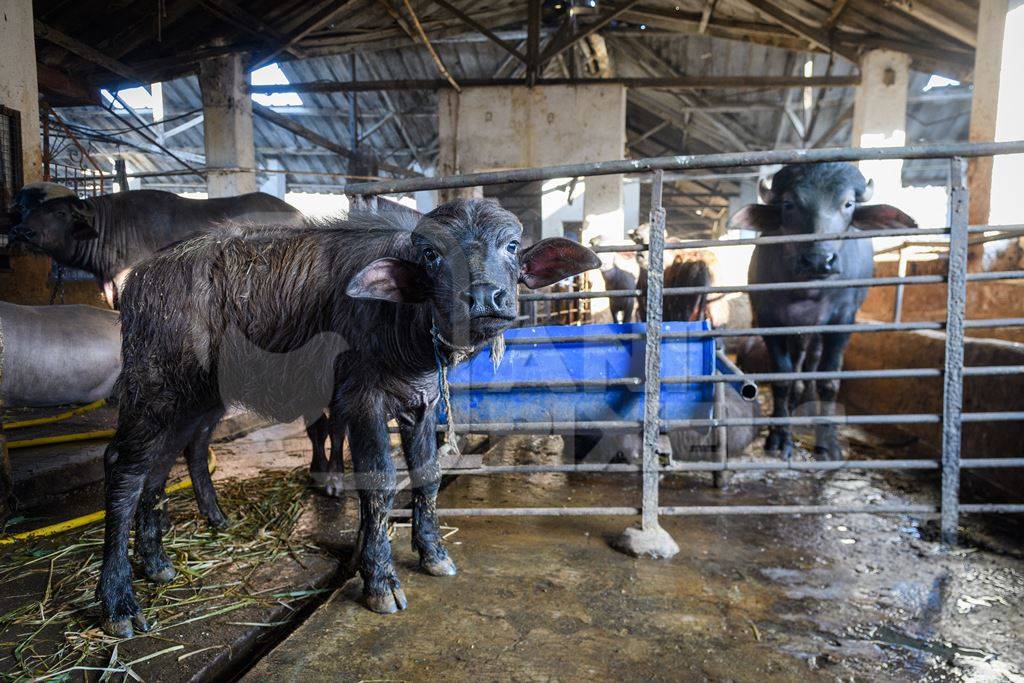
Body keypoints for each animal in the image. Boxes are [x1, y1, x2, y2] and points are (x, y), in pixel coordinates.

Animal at [96, 200, 598, 638]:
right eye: (431, 255)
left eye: (511, 245)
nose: (483, 298)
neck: (404, 326)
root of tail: (136, 281)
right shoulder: (363, 402)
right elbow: (378, 481)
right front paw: (380, 581)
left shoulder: (421, 403)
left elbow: (428, 475)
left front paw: (433, 553)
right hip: (153, 386)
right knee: (124, 467)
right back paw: (118, 602)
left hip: (192, 398)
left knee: (164, 462)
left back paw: (158, 563)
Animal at [729, 162, 921, 458]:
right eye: (789, 203)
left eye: (848, 204)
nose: (819, 260)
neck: (807, 291)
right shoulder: (769, 320)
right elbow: (782, 379)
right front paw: (779, 437)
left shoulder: (841, 321)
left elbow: (828, 381)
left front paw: (828, 443)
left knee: (812, 365)